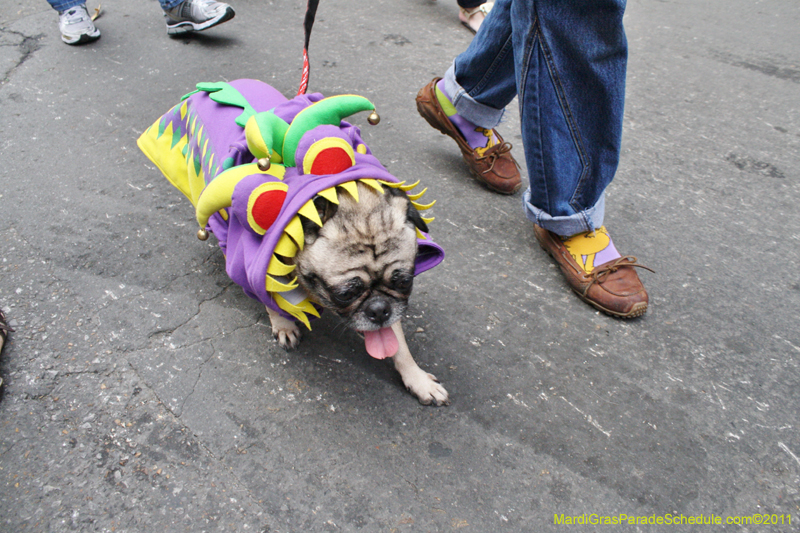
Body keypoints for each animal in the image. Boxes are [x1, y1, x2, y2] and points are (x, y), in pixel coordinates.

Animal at [264, 181, 446, 406]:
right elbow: (273, 298)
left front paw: (418, 379)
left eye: (405, 282)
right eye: (345, 294)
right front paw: (284, 324)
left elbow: (399, 345)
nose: (379, 309)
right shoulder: (271, 265)